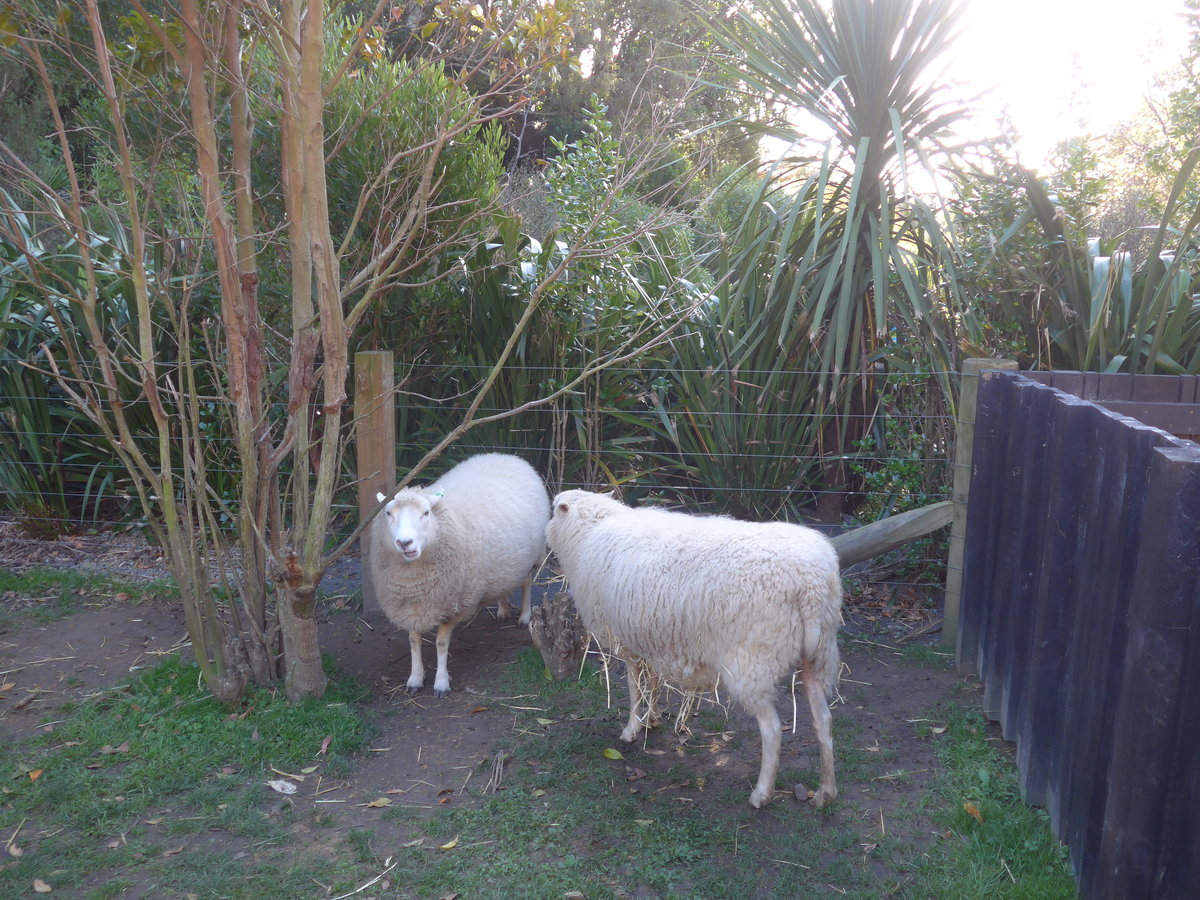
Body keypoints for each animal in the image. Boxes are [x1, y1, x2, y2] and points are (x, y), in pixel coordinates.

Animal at [370, 453, 549, 697]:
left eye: (426, 513)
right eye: (388, 513)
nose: (404, 542)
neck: (413, 582)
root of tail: (505, 456)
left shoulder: (452, 606)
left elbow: (441, 644)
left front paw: (441, 683)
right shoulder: (411, 608)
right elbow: (414, 642)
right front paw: (415, 679)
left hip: (532, 554)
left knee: (526, 583)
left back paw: (524, 616)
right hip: (505, 562)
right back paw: (502, 609)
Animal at [544, 490, 842, 809]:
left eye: (554, 509)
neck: (589, 533)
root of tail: (810, 585)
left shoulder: (627, 641)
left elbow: (634, 687)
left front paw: (631, 729)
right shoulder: (649, 638)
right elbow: (652, 681)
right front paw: (653, 718)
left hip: (753, 660)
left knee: (772, 730)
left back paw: (761, 794)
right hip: (818, 654)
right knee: (823, 720)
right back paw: (825, 792)